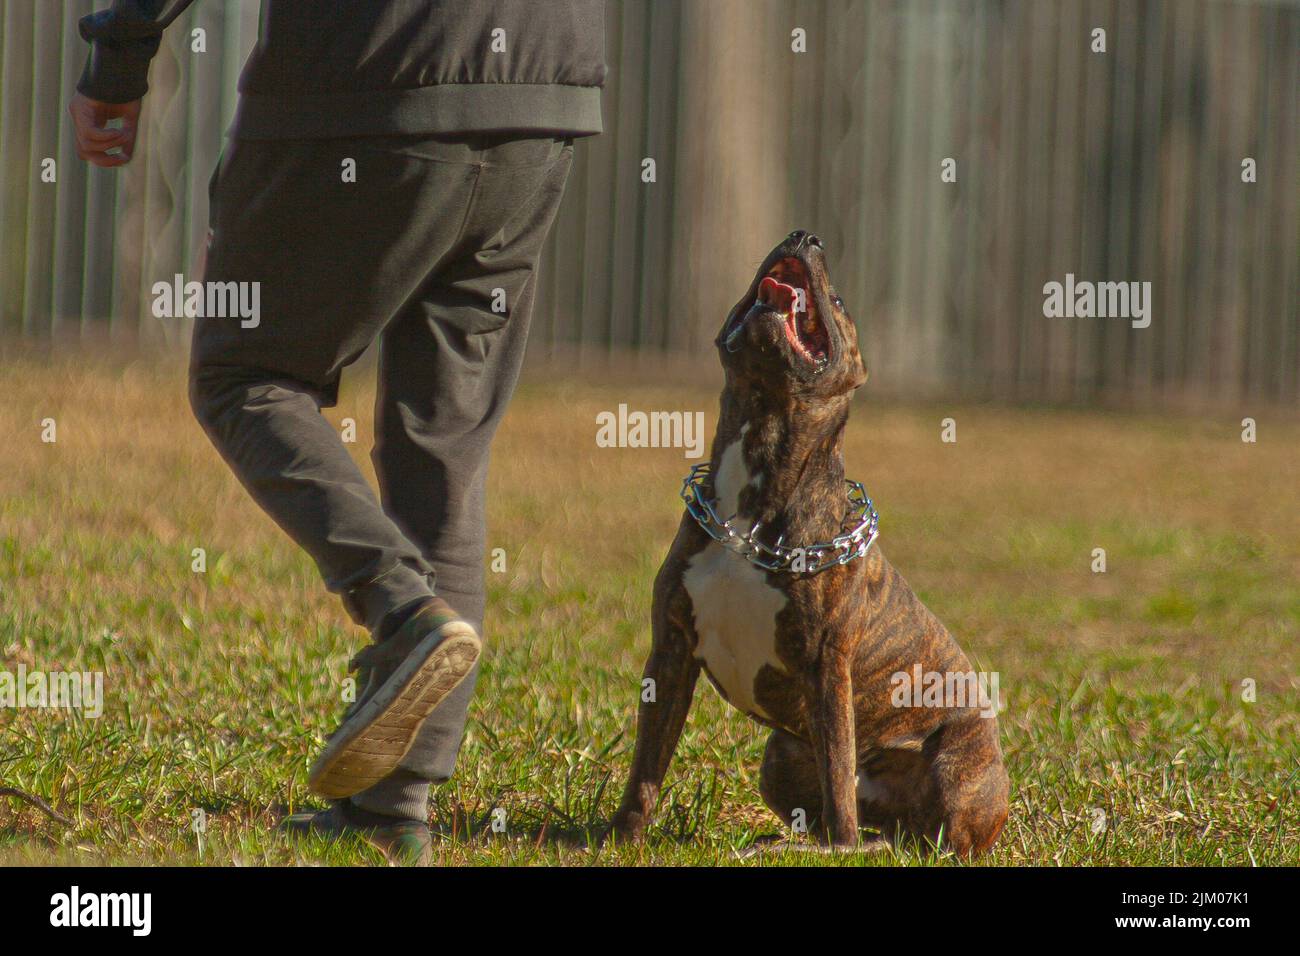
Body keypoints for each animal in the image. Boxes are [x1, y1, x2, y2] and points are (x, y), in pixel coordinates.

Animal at [608, 230, 1003, 853]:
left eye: (837, 301)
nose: (803, 236)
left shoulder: (827, 667)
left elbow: (838, 771)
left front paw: (842, 853)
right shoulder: (670, 651)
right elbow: (648, 761)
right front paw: (622, 835)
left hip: (959, 767)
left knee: (927, 831)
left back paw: (859, 845)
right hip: (780, 756)